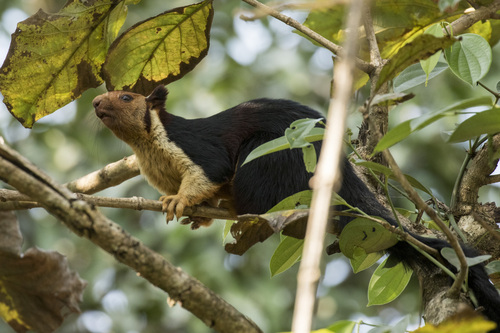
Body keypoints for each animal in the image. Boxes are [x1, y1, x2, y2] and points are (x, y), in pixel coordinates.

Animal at [93, 84, 500, 328]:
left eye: (126, 97)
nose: (95, 103)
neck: (149, 146)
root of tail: (343, 175)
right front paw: (196, 211)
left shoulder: (198, 149)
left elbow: (211, 172)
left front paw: (180, 200)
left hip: (273, 159)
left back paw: (240, 206)